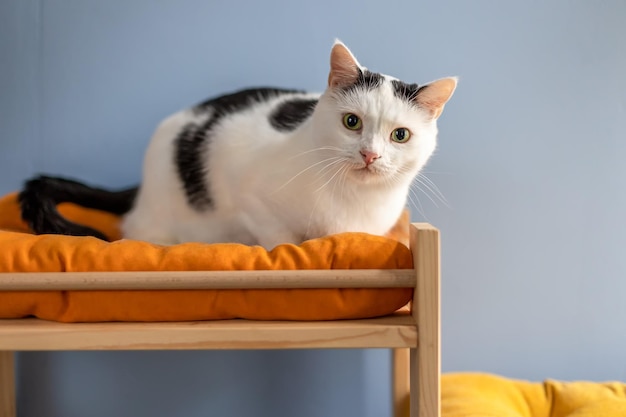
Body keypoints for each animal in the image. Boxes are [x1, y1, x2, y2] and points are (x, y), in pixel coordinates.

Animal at [19, 40, 456, 249]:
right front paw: (286, 250)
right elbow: (281, 238)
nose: (370, 154)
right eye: (352, 122)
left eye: (400, 135)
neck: (353, 200)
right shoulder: (249, 194)